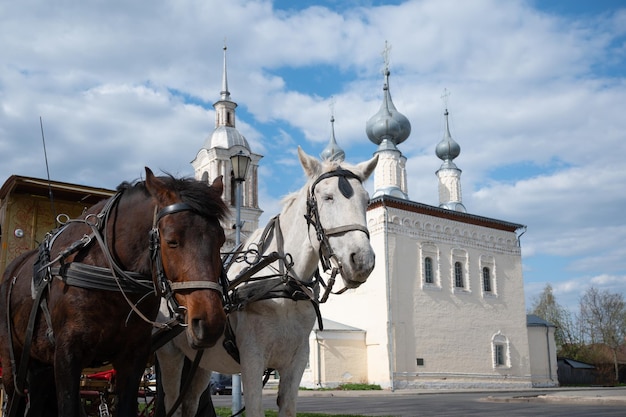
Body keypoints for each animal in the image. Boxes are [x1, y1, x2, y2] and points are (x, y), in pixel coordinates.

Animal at [0, 167, 229, 414]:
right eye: (172, 241)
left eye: (221, 240)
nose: (210, 323)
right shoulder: (66, 356)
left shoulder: (133, 357)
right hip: (13, 362)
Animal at [155, 147, 376, 416]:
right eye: (327, 197)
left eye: (366, 200)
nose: (362, 260)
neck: (284, 291)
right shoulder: (252, 360)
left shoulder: (297, 360)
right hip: (170, 354)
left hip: (201, 362)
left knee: (190, 402)